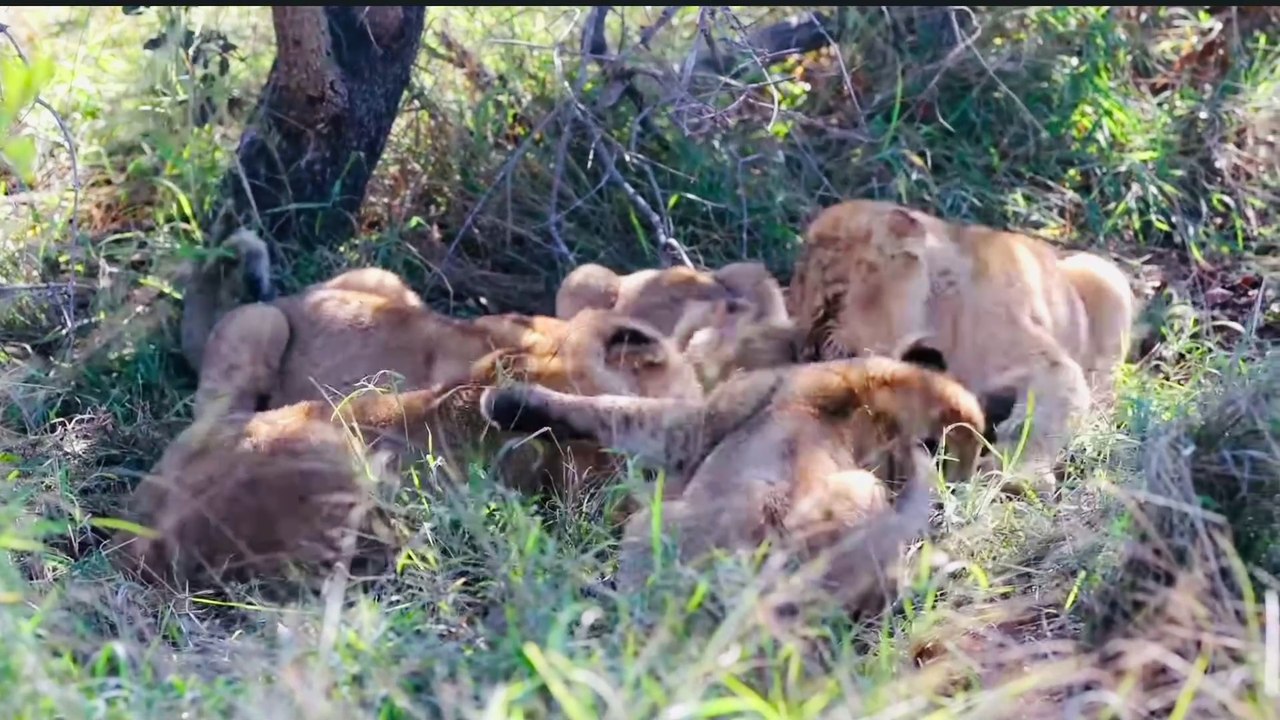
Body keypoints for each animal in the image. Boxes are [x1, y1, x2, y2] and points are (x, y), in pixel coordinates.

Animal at [786, 199, 1135, 494]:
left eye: (832, 302)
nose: (809, 352)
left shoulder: (1047, 366)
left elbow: (1036, 420)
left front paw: (1018, 477)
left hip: (1104, 275)